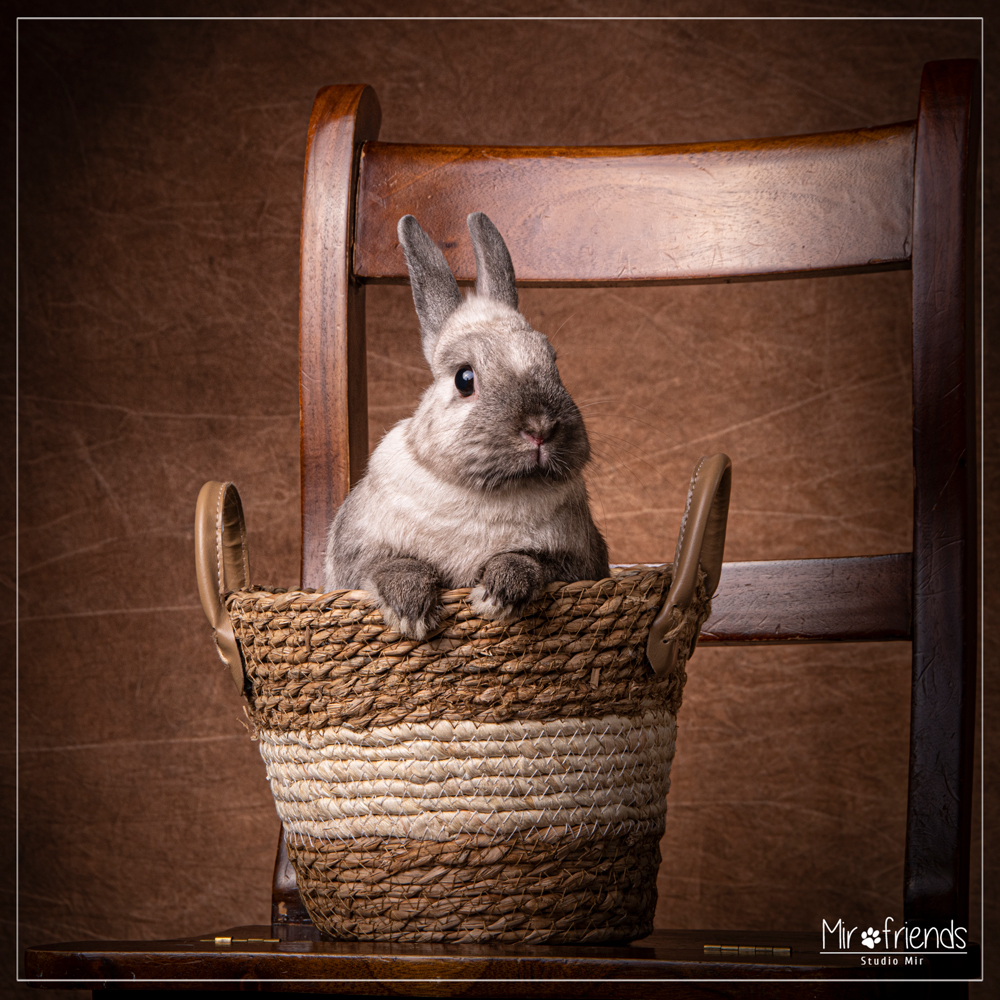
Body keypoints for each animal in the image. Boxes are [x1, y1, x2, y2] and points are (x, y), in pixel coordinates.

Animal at [322, 211, 608, 640]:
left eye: (553, 362)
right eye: (464, 378)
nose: (540, 428)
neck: (487, 492)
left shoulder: (579, 562)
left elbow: (530, 561)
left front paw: (497, 594)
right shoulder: (357, 555)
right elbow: (390, 565)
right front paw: (411, 611)